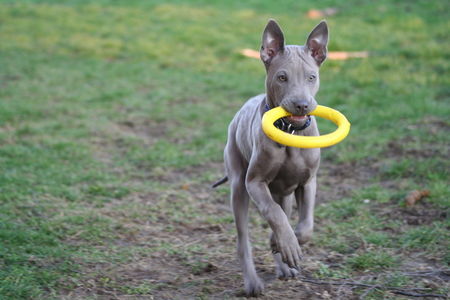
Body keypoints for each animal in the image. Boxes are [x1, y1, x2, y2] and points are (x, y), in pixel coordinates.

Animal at [213, 19, 328, 296]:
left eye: (312, 77)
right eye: (282, 77)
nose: (301, 104)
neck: (290, 131)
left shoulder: (308, 182)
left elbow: (305, 225)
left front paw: (287, 244)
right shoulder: (254, 182)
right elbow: (273, 214)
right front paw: (287, 244)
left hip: (283, 192)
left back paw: (283, 264)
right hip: (238, 186)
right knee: (244, 239)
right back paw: (253, 283)